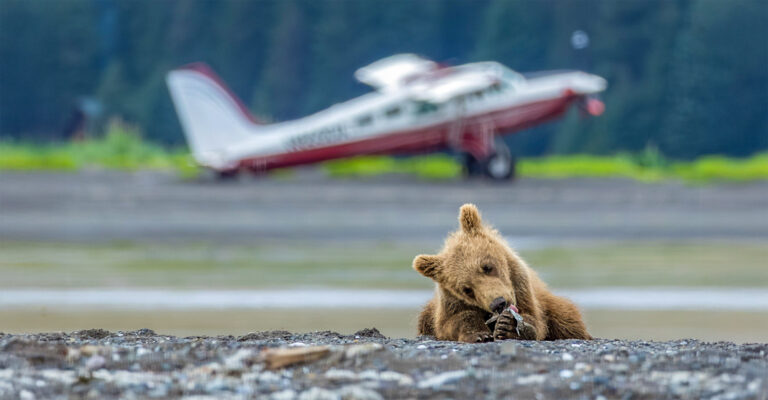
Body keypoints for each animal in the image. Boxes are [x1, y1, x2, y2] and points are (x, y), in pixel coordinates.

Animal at [413, 204, 592, 342]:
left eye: (487, 267)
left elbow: (534, 317)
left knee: (567, 318)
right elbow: (454, 320)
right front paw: (479, 334)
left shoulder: (520, 286)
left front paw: (509, 326)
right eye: (467, 289)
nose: (498, 303)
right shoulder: (450, 301)